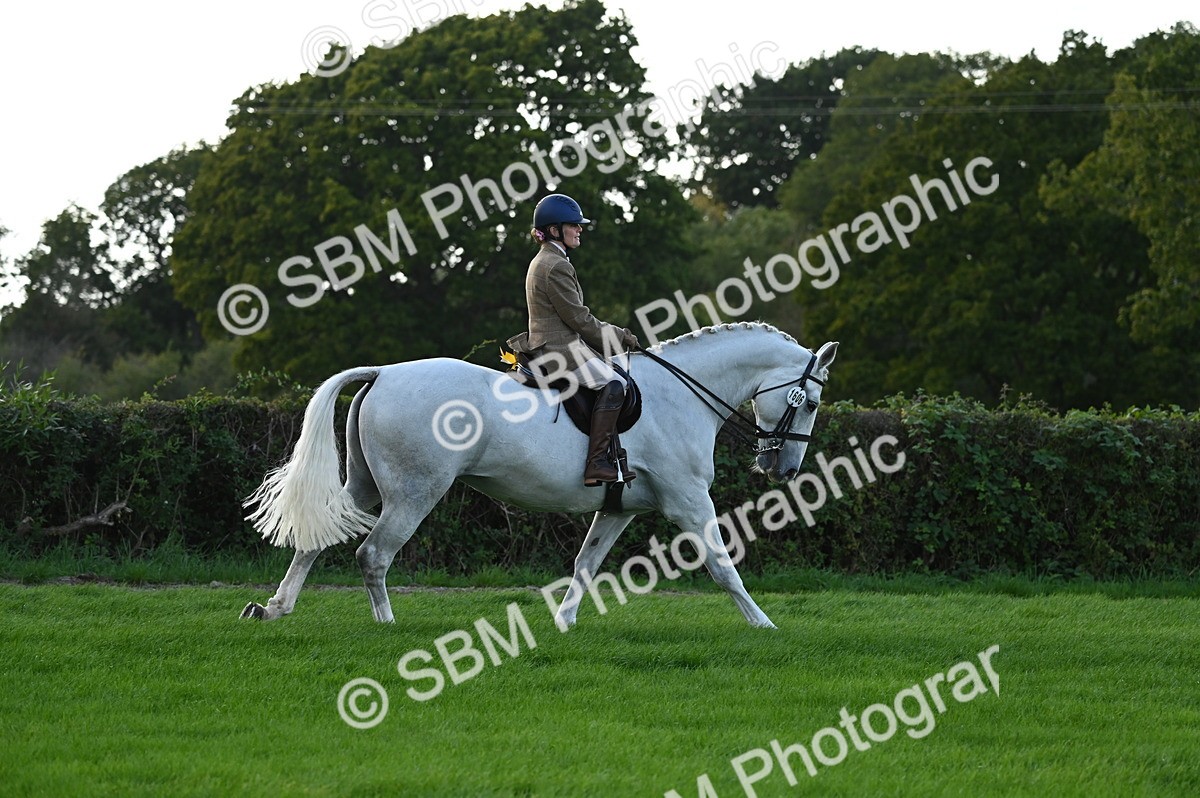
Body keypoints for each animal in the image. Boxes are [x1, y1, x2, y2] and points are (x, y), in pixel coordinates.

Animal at [240, 322, 838, 629]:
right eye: (808, 402)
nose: (783, 468)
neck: (682, 395)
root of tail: (384, 372)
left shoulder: (619, 509)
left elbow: (585, 564)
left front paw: (564, 624)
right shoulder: (688, 501)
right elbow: (723, 565)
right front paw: (763, 625)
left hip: (364, 487)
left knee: (316, 539)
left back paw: (274, 608)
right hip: (415, 492)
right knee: (373, 554)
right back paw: (386, 625)